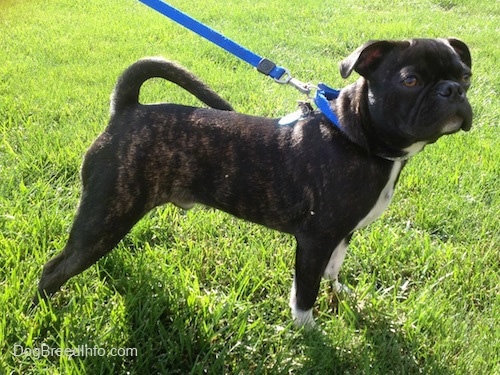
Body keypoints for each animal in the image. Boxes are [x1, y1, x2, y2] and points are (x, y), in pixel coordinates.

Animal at [34, 36, 472, 328]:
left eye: (466, 76)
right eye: (410, 80)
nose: (453, 90)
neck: (353, 134)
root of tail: (126, 109)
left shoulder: (341, 234)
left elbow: (333, 269)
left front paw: (340, 295)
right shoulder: (315, 239)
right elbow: (306, 288)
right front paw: (308, 330)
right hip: (105, 217)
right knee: (55, 269)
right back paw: (41, 313)